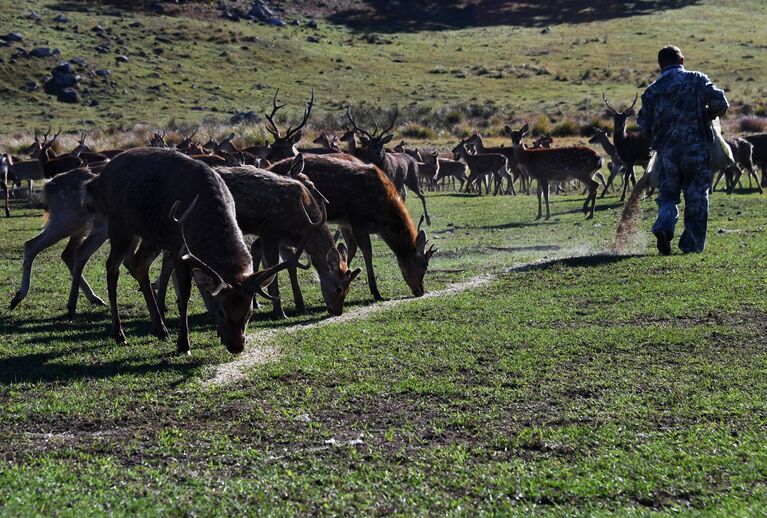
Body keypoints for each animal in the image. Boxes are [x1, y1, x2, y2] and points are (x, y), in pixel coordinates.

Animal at [85, 148, 308, 356]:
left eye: (249, 313)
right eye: (222, 311)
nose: (237, 346)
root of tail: (102, 176)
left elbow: (206, 289)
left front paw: (218, 334)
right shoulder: (179, 248)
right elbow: (184, 295)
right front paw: (184, 344)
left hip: (151, 235)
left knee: (139, 265)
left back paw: (160, 329)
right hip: (119, 222)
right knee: (112, 267)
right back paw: (119, 333)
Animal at [270, 152, 436, 302]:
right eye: (425, 265)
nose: (421, 291)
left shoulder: (345, 222)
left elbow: (351, 248)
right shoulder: (358, 221)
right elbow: (367, 252)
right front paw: (375, 291)